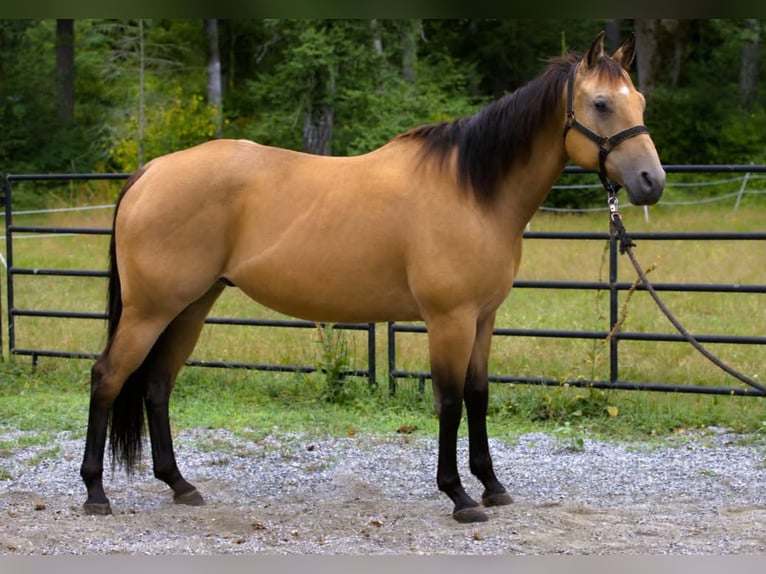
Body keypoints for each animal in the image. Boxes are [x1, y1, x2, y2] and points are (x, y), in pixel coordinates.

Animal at [80, 31, 664, 523]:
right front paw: (459, 496)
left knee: (157, 384)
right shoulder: (448, 320)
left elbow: (477, 395)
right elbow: (448, 401)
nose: (651, 182)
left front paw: (492, 486)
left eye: (639, 102)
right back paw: (95, 493)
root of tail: (151, 170)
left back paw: (179, 484)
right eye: (601, 103)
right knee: (108, 376)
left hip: (191, 307)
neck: (472, 190)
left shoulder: (483, 319)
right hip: (151, 309)